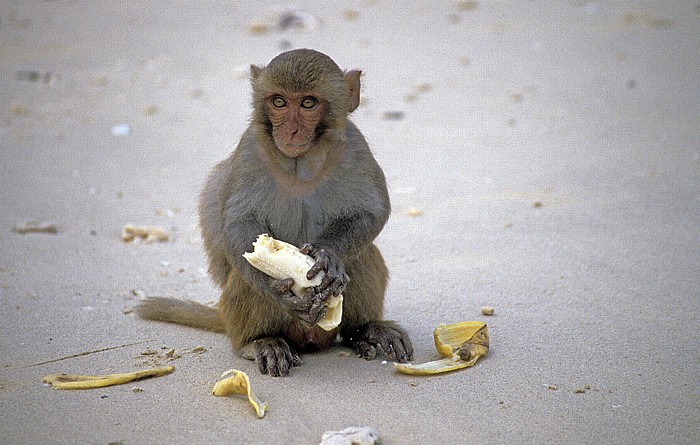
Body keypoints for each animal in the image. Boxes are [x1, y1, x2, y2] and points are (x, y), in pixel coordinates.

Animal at [134, 48, 412, 374]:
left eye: (308, 103)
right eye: (279, 102)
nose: (290, 130)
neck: (300, 165)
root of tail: (310, 338)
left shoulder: (354, 146)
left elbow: (370, 212)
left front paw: (328, 255)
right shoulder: (250, 150)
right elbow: (238, 225)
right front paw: (274, 288)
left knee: (361, 256)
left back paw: (365, 330)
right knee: (245, 278)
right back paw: (260, 342)